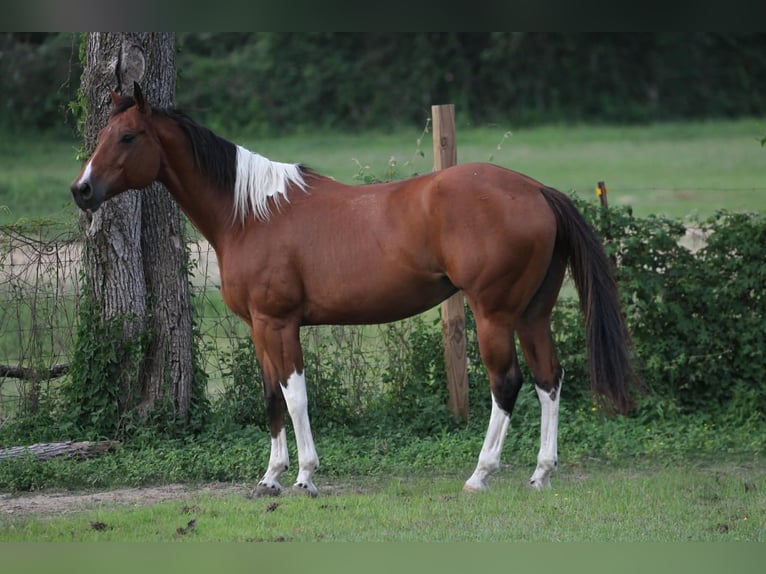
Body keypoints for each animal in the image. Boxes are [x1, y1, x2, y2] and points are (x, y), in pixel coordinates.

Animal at [71, 83, 638, 497]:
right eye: (104, 133)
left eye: (127, 137)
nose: (82, 190)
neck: (250, 214)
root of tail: (536, 189)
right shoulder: (258, 328)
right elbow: (271, 397)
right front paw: (269, 478)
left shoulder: (279, 323)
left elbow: (295, 395)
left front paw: (304, 475)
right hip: (531, 313)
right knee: (548, 379)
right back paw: (541, 472)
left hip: (493, 314)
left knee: (507, 383)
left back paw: (480, 474)